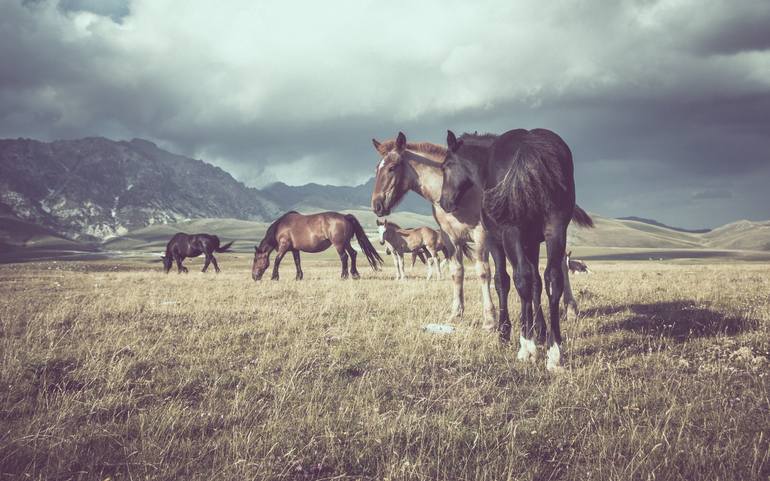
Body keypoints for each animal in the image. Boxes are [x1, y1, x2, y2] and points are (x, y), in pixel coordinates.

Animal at [252, 210, 380, 282]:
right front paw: (298, 277)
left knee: (344, 257)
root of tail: (345, 217)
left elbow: (277, 260)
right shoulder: (295, 249)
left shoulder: (284, 246)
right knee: (353, 254)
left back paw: (343, 276)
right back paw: (355, 275)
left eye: (256, 260)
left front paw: (274, 277)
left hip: (339, 244)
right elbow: (297, 262)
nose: (254, 277)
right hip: (346, 242)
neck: (281, 226)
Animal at [368, 130, 592, 334]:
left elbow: (484, 273)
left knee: (561, 265)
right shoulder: (450, 238)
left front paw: (490, 320)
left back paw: (570, 309)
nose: (377, 205)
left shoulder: (481, 234)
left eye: (392, 167)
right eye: (376, 169)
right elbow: (457, 272)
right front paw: (456, 312)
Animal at [438, 128, 592, 372]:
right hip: (556, 229)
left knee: (521, 278)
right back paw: (554, 351)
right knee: (552, 278)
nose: (444, 202)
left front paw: (506, 332)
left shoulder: (495, 241)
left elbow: (503, 281)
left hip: (511, 233)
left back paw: (526, 347)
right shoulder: (532, 242)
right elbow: (538, 283)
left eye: (445, 166)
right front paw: (540, 331)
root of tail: (529, 149)